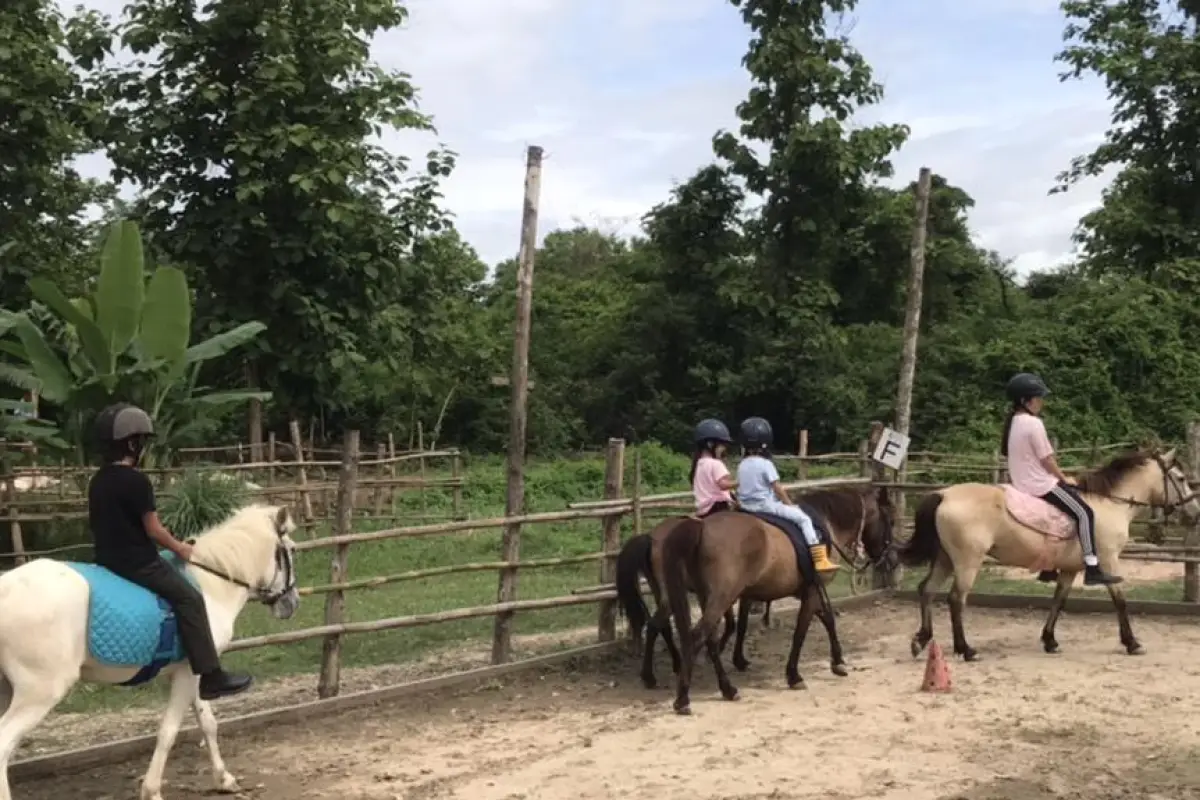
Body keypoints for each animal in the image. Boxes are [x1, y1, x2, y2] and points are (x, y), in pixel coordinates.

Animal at [0, 503, 300, 800]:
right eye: (292, 549)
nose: (292, 604)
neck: (210, 584)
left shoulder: (191, 671)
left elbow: (208, 723)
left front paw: (224, 779)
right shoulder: (189, 672)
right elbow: (169, 731)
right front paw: (152, 790)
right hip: (40, 691)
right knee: (4, 745)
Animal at [617, 484, 897, 691]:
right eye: (891, 520)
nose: (890, 557)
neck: (823, 525)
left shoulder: (785, 591)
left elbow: (825, 618)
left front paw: (837, 662)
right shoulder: (810, 590)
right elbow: (802, 629)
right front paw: (794, 674)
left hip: (683, 594)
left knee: (665, 626)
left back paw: (664, 673)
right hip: (707, 595)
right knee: (682, 630)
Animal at [898, 448, 1200, 662]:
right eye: (1181, 479)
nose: (1195, 514)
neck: (1108, 503)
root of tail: (943, 495)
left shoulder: (1069, 568)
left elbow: (1058, 601)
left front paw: (1050, 641)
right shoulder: (1108, 561)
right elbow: (1120, 601)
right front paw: (1132, 643)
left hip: (945, 559)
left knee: (927, 590)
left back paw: (920, 640)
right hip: (967, 561)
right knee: (955, 599)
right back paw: (966, 649)